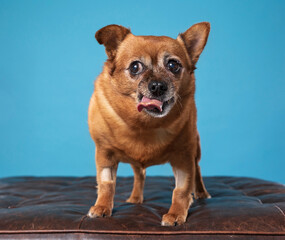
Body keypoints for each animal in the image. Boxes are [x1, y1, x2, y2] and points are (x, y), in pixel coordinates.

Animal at [87, 21, 210, 226]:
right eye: (135, 67)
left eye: (173, 65)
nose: (158, 86)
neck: (144, 124)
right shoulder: (105, 154)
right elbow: (106, 184)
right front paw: (102, 207)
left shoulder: (184, 157)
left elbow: (181, 189)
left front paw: (176, 214)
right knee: (139, 174)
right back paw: (136, 198)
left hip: (196, 151)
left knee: (198, 170)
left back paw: (201, 193)